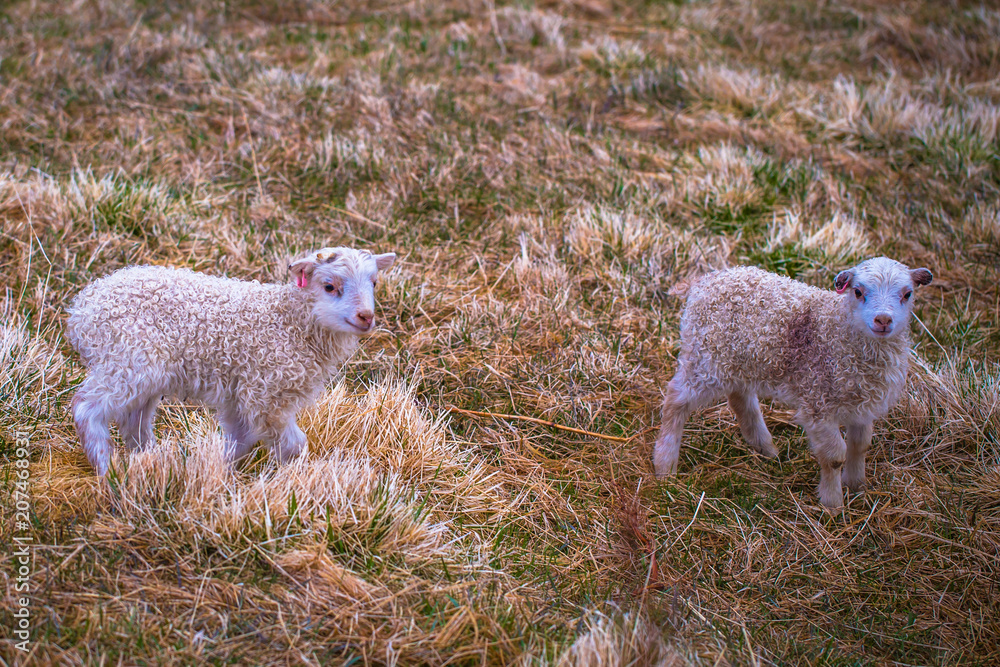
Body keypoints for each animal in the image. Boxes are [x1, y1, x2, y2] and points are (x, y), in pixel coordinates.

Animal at [64, 249, 394, 474]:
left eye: (374, 284)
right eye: (329, 286)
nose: (366, 317)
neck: (289, 322)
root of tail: (80, 311)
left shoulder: (240, 395)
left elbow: (240, 440)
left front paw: (219, 471)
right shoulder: (266, 393)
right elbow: (293, 444)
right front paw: (287, 482)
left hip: (145, 372)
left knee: (135, 421)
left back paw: (150, 462)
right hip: (126, 360)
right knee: (86, 408)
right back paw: (107, 469)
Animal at [652, 258, 932, 508]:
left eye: (907, 293)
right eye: (858, 291)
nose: (883, 320)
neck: (838, 330)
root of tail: (704, 280)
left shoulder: (862, 405)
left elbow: (860, 445)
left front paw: (857, 487)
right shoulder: (818, 403)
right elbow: (834, 456)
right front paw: (833, 505)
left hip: (741, 358)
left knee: (740, 398)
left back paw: (766, 449)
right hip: (706, 356)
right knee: (676, 399)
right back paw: (665, 466)